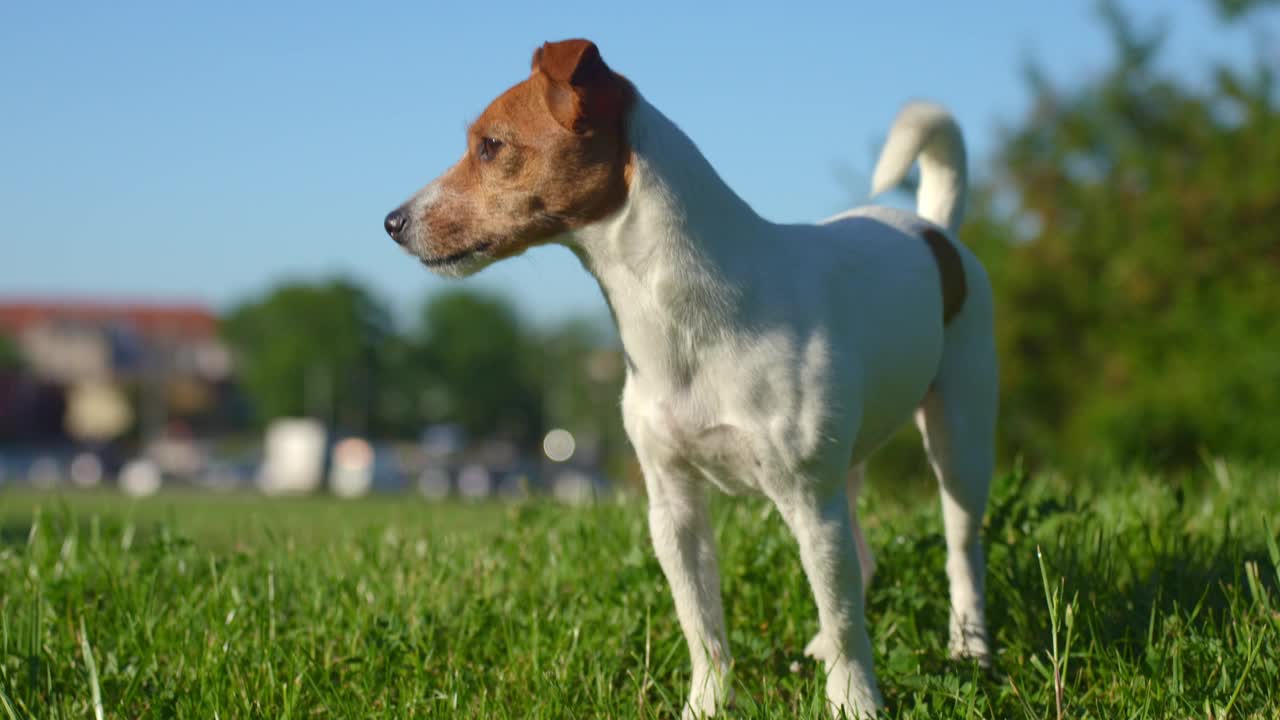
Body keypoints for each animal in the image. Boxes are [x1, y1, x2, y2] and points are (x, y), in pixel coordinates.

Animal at [384, 40, 993, 717]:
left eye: (490, 146)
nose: (392, 222)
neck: (685, 320)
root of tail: (936, 231)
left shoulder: (808, 501)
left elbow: (841, 616)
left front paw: (855, 701)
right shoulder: (673, 505)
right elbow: (702, 625)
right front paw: (707, 702)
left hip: (958, 442)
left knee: (959, 554)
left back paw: (970, 649)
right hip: (849, 465)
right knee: (862, 557)